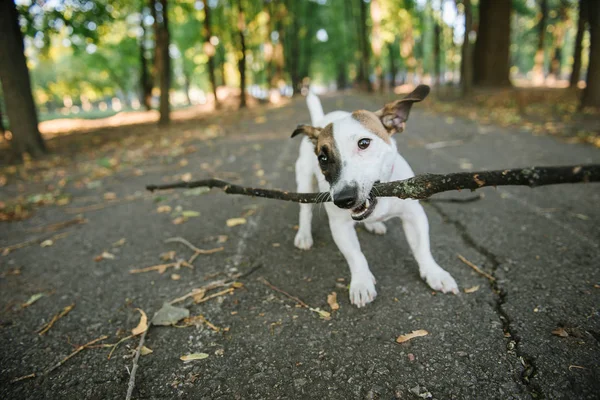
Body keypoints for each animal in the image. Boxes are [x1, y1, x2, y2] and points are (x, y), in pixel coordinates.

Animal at [292, 86, 458, 308]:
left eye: (364, 143)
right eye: (323, 158)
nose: (343, 199)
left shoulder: (414, 216)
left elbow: (422, 248)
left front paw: (434, 272)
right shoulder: (339, 226)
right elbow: (356, 256)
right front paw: (361, 282)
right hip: (304, 182)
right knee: (305, 211)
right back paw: (303, 234)